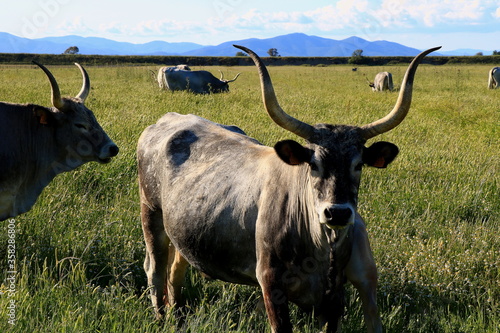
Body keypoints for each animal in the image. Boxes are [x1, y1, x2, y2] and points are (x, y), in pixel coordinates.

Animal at [139, 44, 440, 332]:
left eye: (358, 165)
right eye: (313, 164)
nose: (338, 213)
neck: (319, 247)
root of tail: (169, 119)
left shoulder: (334, 297)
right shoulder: (271, 285)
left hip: (184, 228)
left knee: (176, 270)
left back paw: (177, 316)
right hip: (151, 213)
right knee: (155, 268)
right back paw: (160, 318)